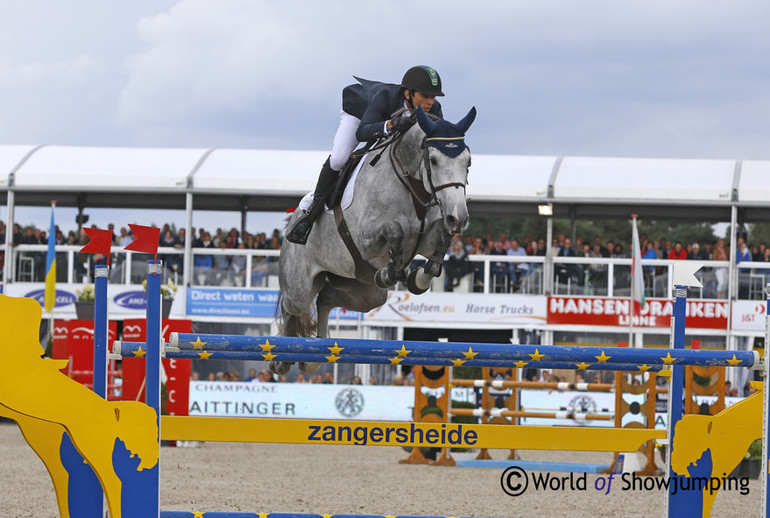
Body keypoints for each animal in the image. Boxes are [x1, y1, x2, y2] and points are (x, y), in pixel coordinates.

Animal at [270, 105, 474, 376]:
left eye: (468, 161)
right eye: (433, 160)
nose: (458, 217)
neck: (411, 182)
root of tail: (291, 220)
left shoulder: (426, 238)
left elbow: (441, 237)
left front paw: (418, 278)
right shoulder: (365, 240)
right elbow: (395, 230)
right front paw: (391, 272)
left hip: (365, 290)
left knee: (325, 299)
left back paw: (314, 355)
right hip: (299, 286)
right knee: (293, 307)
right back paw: (281, 359)